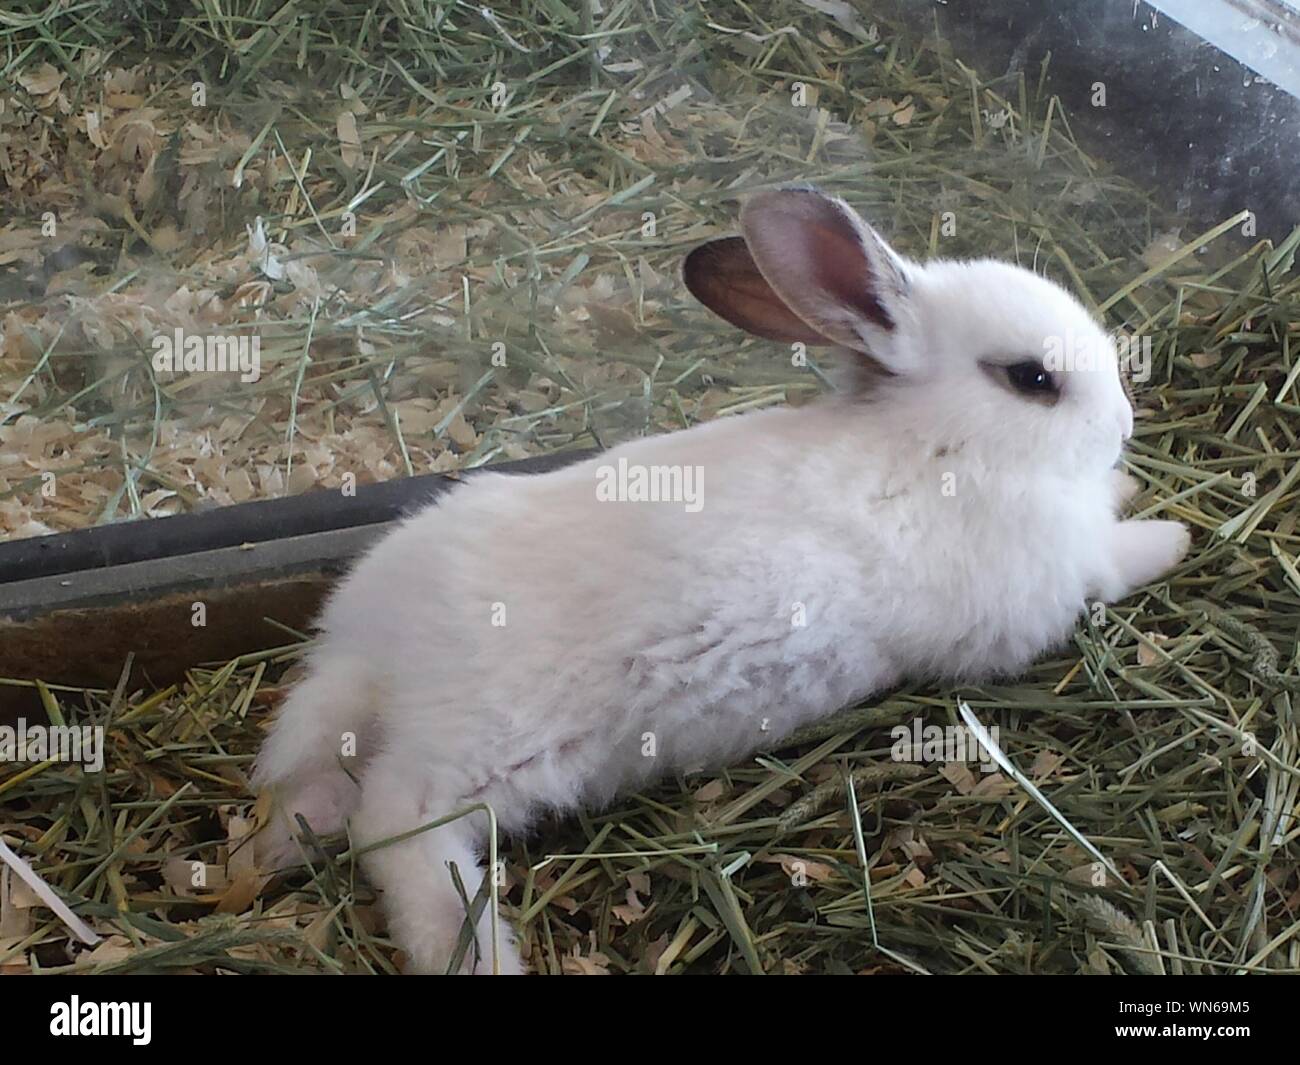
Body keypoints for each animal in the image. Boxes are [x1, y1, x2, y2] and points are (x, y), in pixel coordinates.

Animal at [252, 186, 1190, 974]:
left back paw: (276, 846)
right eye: (1033, 379)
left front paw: (1131, 488)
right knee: (395, 823)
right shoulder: (1045, 593)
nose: (1125, 426)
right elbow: (1115, 562)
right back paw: (480, 953)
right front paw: (1173, 533)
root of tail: (370, 643)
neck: (935, 446)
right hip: (479, 752)